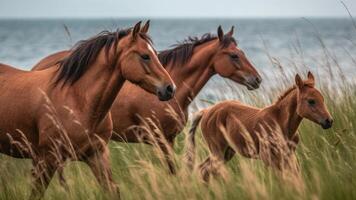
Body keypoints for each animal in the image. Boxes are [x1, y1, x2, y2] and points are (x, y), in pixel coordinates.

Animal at [0, 20, 175, 198]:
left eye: (155, 53)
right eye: (145, 56)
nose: (170, 88)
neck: (77, 101)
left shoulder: (96, 155)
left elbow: (113, 190)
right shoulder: (46, 158)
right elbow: (36, 194)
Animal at [188, 71, 332, 181]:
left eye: (323, 99)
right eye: (311, 101)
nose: (329, 121)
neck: (280, 122)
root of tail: (206, 111)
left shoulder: (289, 155)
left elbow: (294, 175)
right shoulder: (268, 157)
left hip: (227, 152)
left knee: (204, 170)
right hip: (218, 151)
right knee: (205, 170)